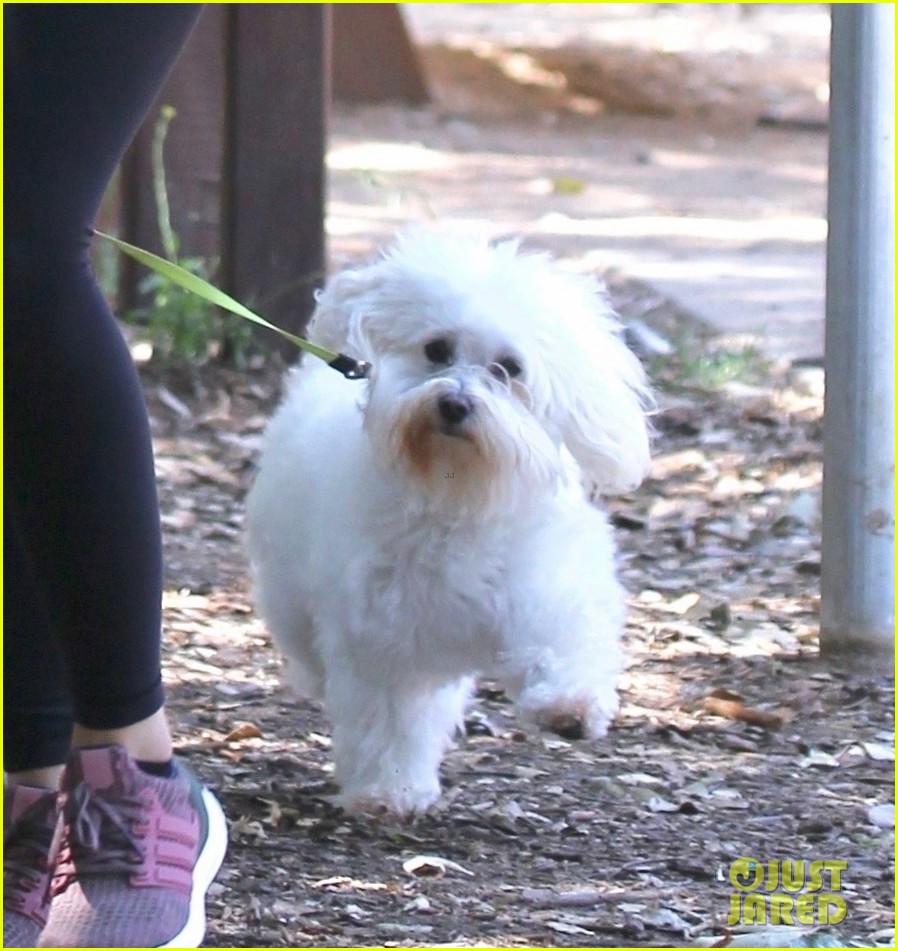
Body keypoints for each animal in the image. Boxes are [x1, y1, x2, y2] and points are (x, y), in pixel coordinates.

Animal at [247, 232, 652, 820]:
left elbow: (562, 636)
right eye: (437, 350)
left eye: (510, 367)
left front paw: (568, 705)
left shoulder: (546, 582)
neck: (458, 490)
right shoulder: (381, 636)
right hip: (291, 595)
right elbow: (389, 718)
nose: (455, 403)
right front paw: (388, 789)